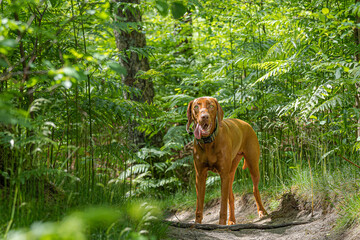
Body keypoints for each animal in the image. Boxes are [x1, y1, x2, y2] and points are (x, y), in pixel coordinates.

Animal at [186, 96, 268, 225]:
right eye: (196, 106)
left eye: (211, 106)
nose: (204, 117)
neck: (209, 142)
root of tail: (244, 123)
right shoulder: (200, 176)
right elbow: (199, 206)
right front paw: (197, 225)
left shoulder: (223, 174)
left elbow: (223, 206)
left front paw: (221, 224)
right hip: (231, 173)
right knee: (231, 196)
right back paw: (232, 220)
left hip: (253, 166)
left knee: (255, 190)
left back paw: (262, 211)